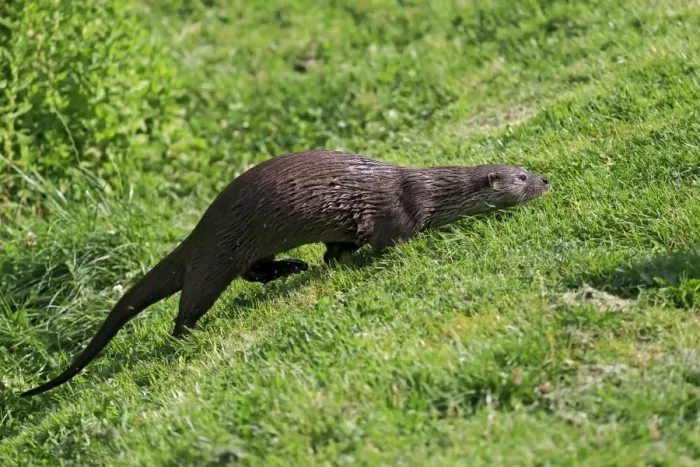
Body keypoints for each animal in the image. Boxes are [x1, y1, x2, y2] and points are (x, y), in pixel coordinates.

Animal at [20, 149, 550, 397]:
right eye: (521, 177)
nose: (545, 179)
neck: (431, 192)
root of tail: (197, 232)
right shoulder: (399, 214)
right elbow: (391, 242)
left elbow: (339, 248)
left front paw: (332, 260)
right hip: (215, 260)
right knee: (188, 307)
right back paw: (187, 336)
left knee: (255, 272)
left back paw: (294, 266)